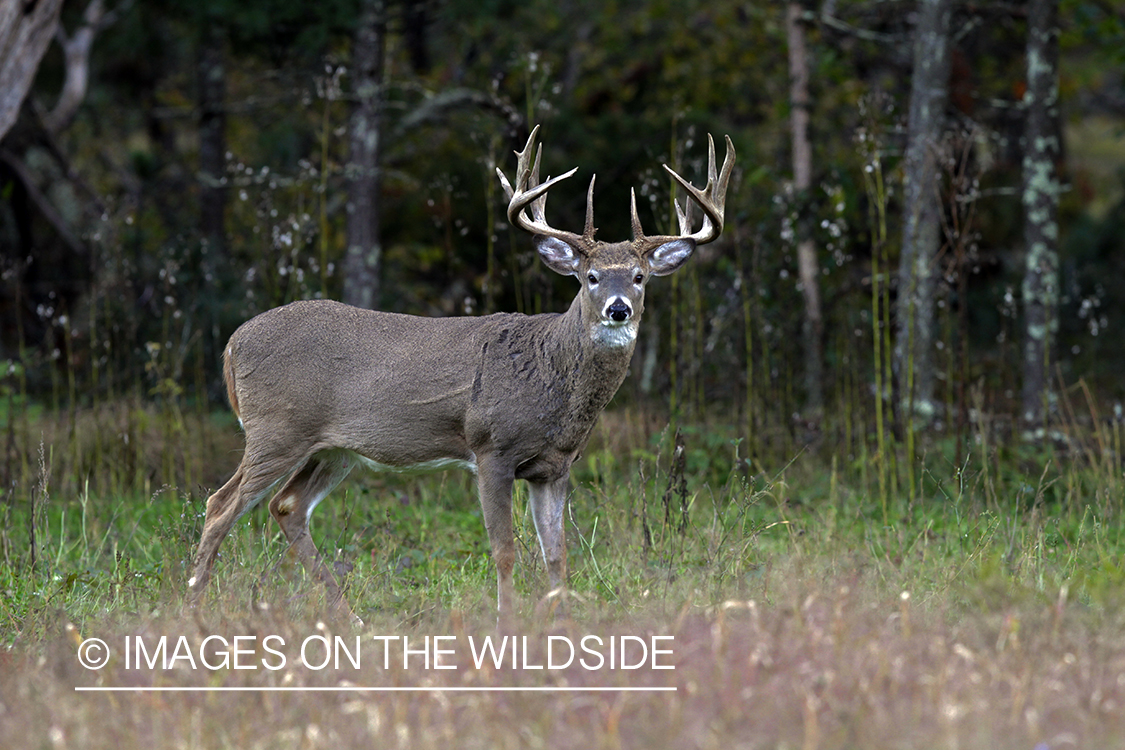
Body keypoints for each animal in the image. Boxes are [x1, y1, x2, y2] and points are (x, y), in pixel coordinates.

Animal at [189, 127, 733, 620]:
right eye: (590, 277)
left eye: (639, 277)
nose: (618, 309)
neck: (551, 378)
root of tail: (233, 345)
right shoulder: (491, 447)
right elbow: (506, 551)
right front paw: (507, 625)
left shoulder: (555, 467)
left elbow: (557, 556)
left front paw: (562, 625)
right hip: (276, 428)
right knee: (219, 505)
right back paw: (193, 608)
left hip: (334, 447)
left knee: (287, 506)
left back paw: (350, 616)